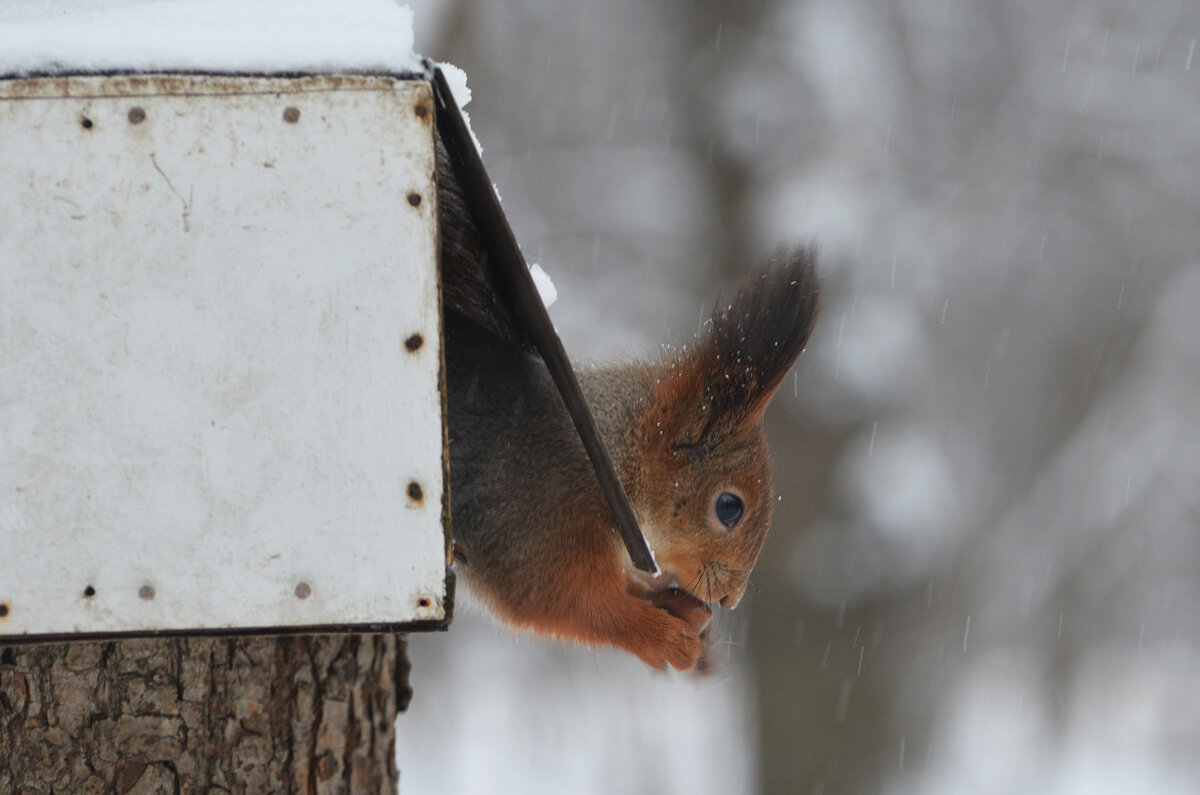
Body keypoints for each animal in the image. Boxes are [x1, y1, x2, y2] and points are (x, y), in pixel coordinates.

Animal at [436, 143, 820, 672]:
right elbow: (570, 606)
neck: (612, 456)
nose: (730, 600)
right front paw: (665, 639)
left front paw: (677, 610)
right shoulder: (535, 527)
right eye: (729, 507)